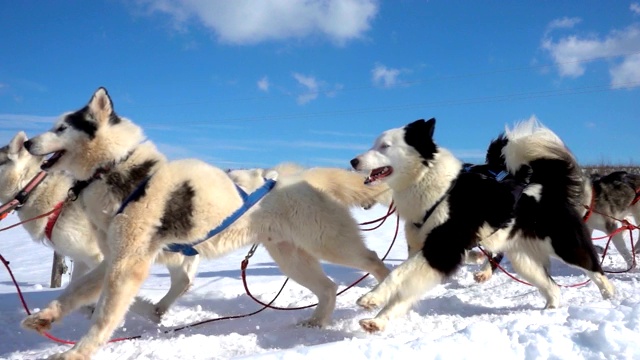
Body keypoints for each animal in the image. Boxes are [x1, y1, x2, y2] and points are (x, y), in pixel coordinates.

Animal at [350, 117, 616, 332]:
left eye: (385, 146)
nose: (353, 161)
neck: (430, 183)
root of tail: (547, 185)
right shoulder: (424, 253)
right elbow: (405, 290)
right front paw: (379, 320)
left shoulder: (442, 248)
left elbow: (397, 274)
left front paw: (372, 297)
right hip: (525, 262)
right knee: (553, 287)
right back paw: (550, 309)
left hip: (566, 245)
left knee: (596, 270)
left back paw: (610, 297)